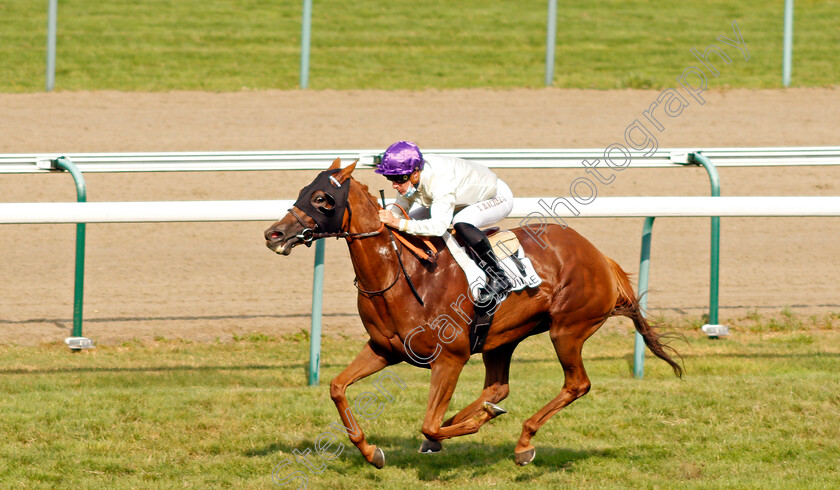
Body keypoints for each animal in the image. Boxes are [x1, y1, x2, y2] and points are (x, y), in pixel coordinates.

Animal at [264, 160, 684, 468]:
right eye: (302, 191)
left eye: (322, 198)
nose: (274, 234)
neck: (400, 275)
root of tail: (600, 257)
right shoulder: (384, 349)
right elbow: (338, 388)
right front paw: (372, 452)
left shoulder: (450, 358)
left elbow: (429, 424)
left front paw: (472, 424)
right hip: (503, 337)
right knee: (497, 388)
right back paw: (482, 415)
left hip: (567, 330)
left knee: (576, 384)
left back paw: (521, 440)